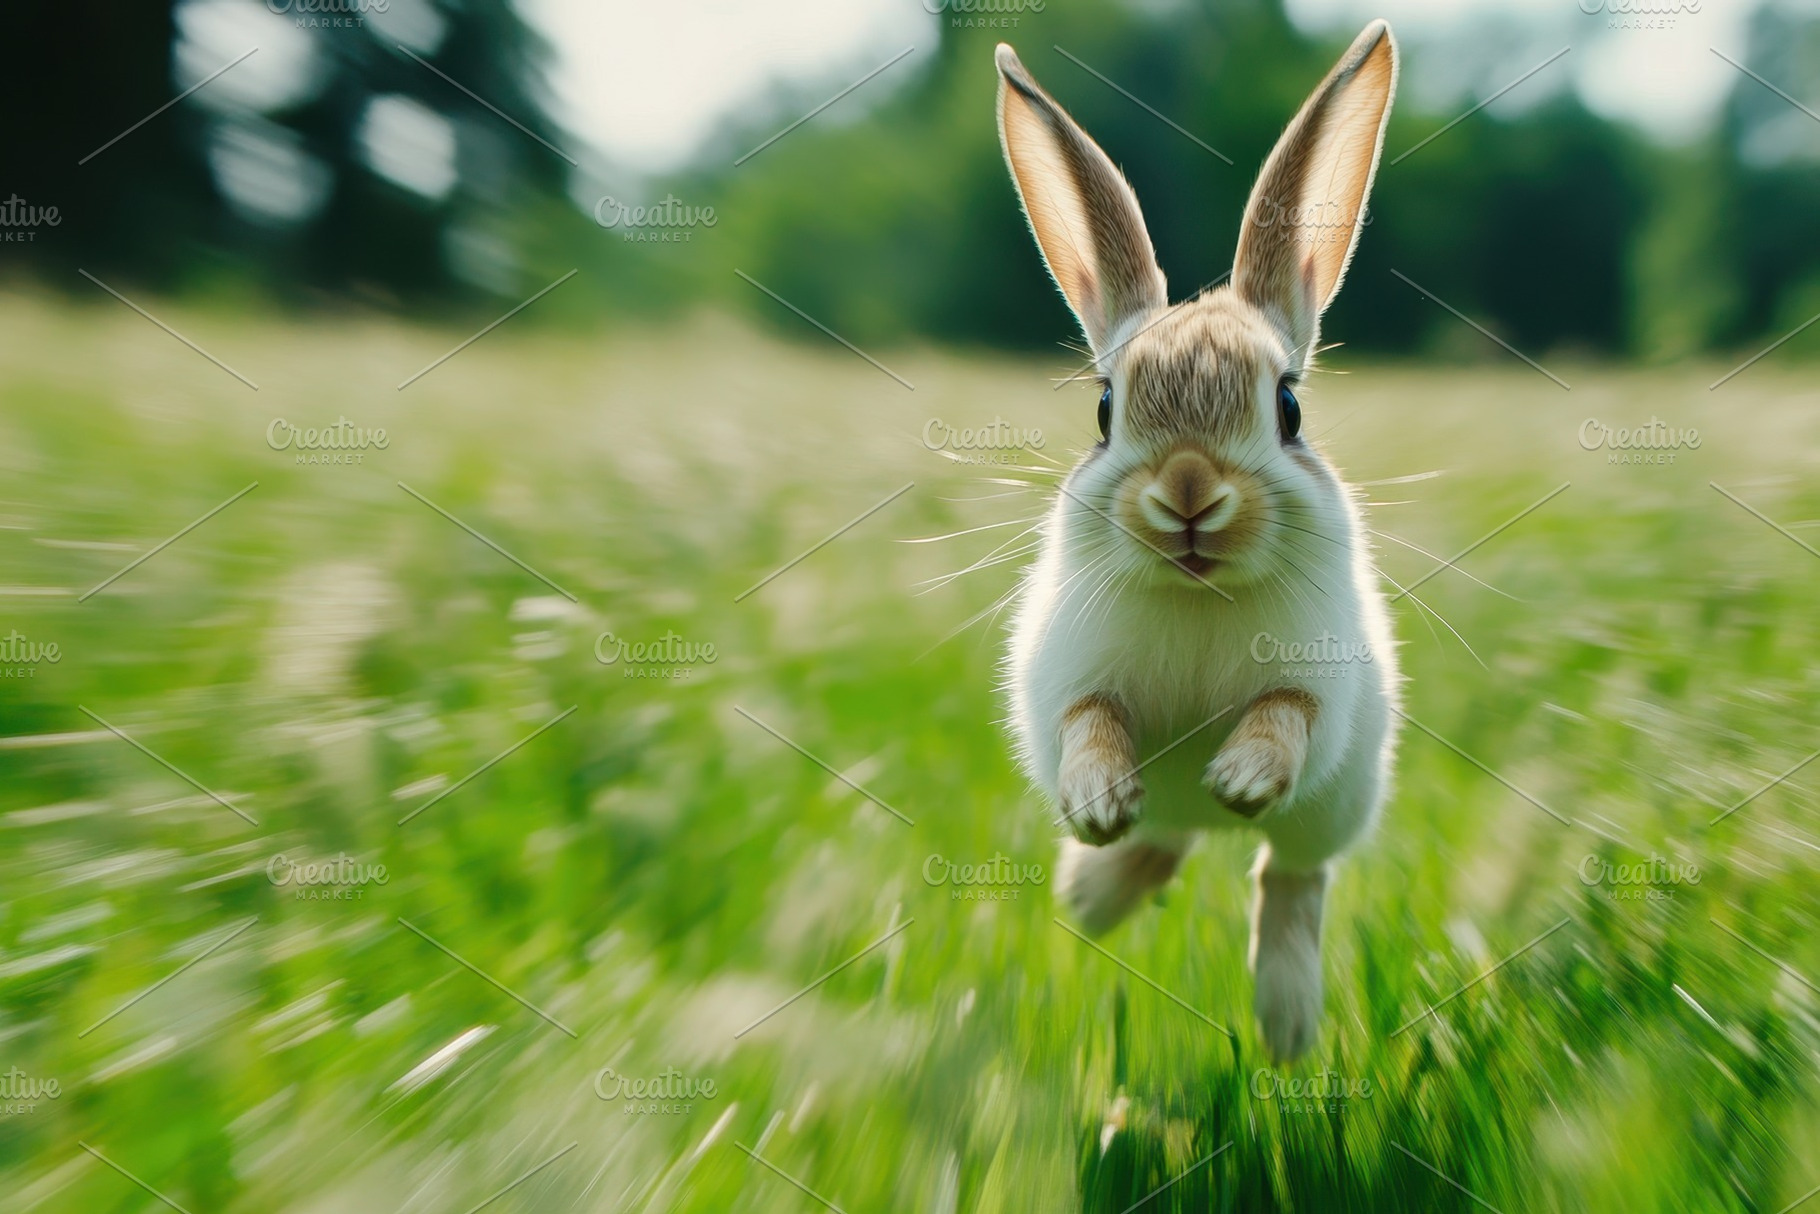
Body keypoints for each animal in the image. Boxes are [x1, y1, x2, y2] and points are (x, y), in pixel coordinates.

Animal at [994, 21, 1402, 1062]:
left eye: (1288, 407)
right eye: (1106, 410)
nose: (1187, 491)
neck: (1197, 589)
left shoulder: (1318, 688)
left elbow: (1284, 719)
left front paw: (1239, 776)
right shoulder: (1071, 680)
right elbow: (1090, 724)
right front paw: (1097, 805)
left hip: (1334, 811)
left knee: (1288, 876)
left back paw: (1287, 1024)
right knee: (1167, 842)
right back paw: (1091, 888)